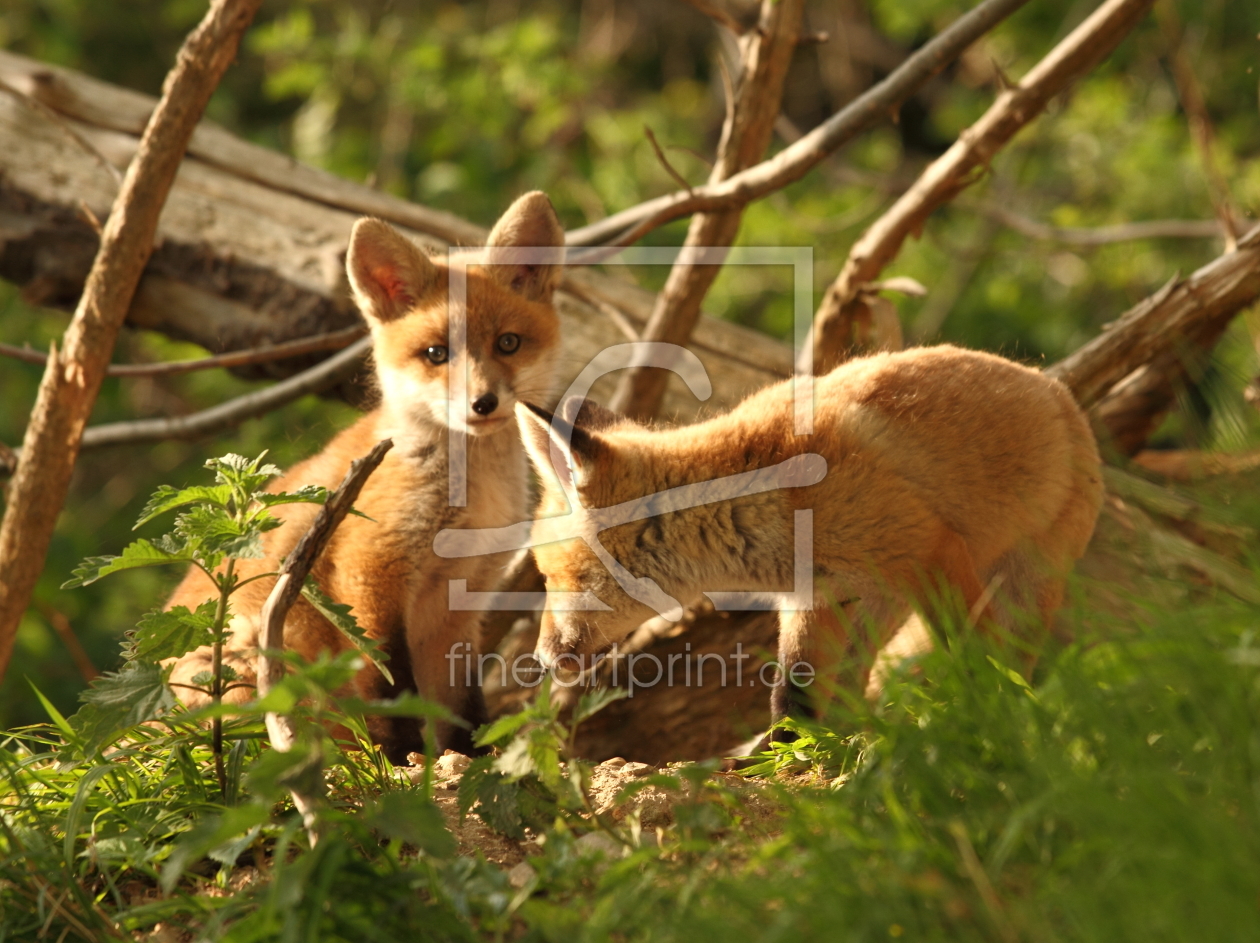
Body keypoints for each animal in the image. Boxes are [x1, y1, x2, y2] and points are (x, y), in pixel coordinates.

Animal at [166, 189, 567, 756]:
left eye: (508, 343)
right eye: (436, 354)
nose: (483, 403)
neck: (471, 499)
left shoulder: (459, 606)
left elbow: (461, 704)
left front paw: (470, 758)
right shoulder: (369, 574)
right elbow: (390, 686)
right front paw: (402, 759)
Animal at [516, 345, 1098, 736]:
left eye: (561, 578)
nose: (541, 660)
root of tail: (1054, 387)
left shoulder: (929, 549)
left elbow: (976, 658)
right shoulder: (813, 596)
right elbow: (793, 697)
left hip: (1020, 584)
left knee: (1011, 660)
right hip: (880, 603)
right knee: (854, 684)